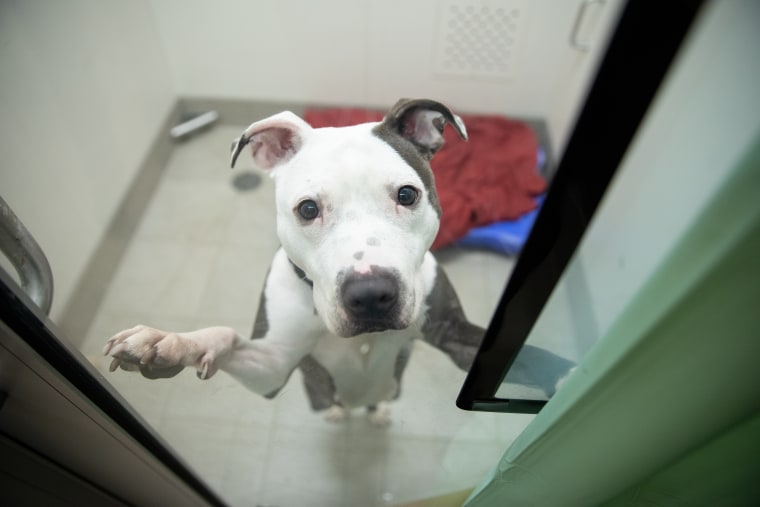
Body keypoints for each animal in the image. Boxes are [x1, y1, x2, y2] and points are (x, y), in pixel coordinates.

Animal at [104, 98, 484, 424]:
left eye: (406, 194)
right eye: (308, 209)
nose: (371, 295)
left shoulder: (454, 332)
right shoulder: (271, 367)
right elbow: (225, 335)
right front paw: (166, 342)